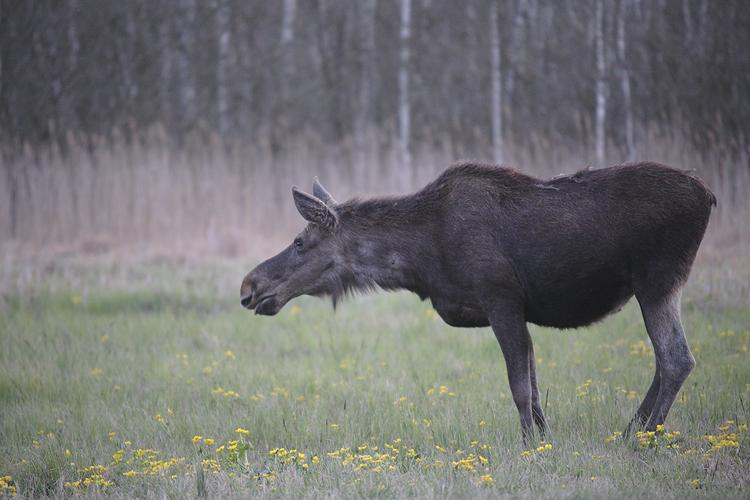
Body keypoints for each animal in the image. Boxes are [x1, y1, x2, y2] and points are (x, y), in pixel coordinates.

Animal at [241, 162, 716, 444]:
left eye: (300, 242)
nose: (249, 286)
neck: (419, 260)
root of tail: (709, 197)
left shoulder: (501, 298)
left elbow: (519, 387)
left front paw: (529, 446)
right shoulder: (518, 311)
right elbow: (535, 386)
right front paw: (545, 439)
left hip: (657, 281)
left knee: (676, 358)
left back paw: (643, 439)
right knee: (667, 359)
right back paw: (631, 431)